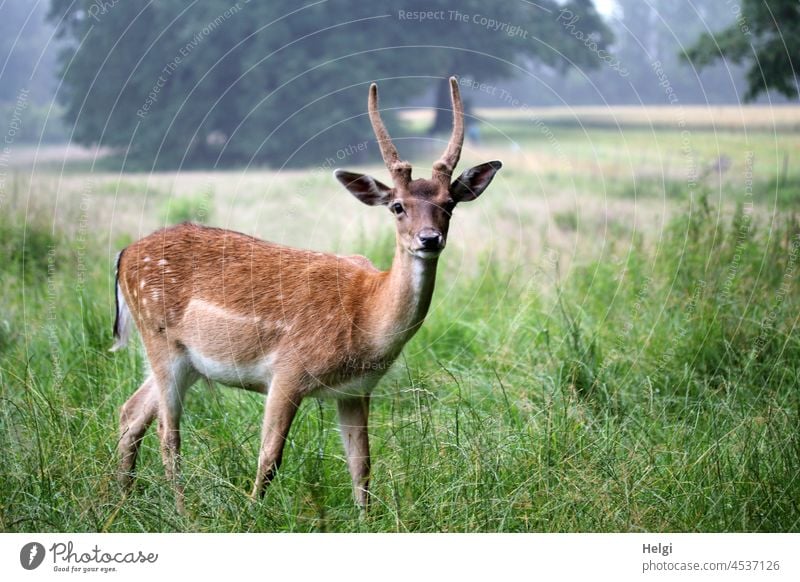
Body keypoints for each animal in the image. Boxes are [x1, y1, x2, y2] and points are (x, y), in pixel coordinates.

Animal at [111, 77, 500, 512]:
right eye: (397, 206)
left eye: (449, 204)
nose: (429, 239)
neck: (367, 319)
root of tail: (123, 255)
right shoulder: (288, 370)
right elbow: (270, 457)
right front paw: (251, 515)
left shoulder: (356, 389)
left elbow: (362, 467)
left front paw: (366, 519)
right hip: (159, 338)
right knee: (168, 432)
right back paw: (182, 511)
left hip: (186, 359)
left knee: (131, 413)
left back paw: (119, 503)